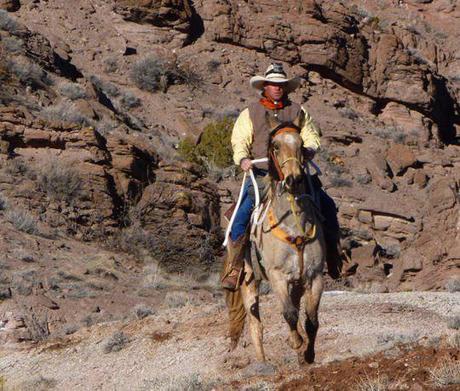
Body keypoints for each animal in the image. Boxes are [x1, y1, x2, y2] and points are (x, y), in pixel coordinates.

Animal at [226, 122, 326, 364]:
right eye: (276, 146)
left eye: (301, 144)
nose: (293, 179)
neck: (293, 225)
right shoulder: (277, 275)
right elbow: (289, 313)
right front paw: (296, 343)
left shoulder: (315, 276)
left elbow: (312, 319)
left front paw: (307, 354)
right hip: (248, 280)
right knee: (255, 324)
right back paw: (262, 362)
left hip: (297, 283)